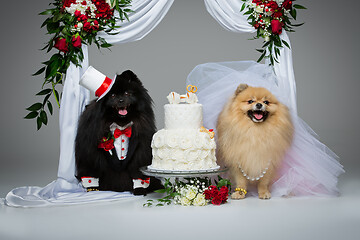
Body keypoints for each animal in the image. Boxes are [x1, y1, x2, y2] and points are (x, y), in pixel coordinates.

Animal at [76, 66, 162, 195]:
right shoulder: (91, 153)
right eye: (112, 96)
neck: (121, 125)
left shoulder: (140, 151)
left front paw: (139, 189)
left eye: (127, 93)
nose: (121, 100)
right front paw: (93, 189)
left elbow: (138, 173)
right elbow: (92, 172)